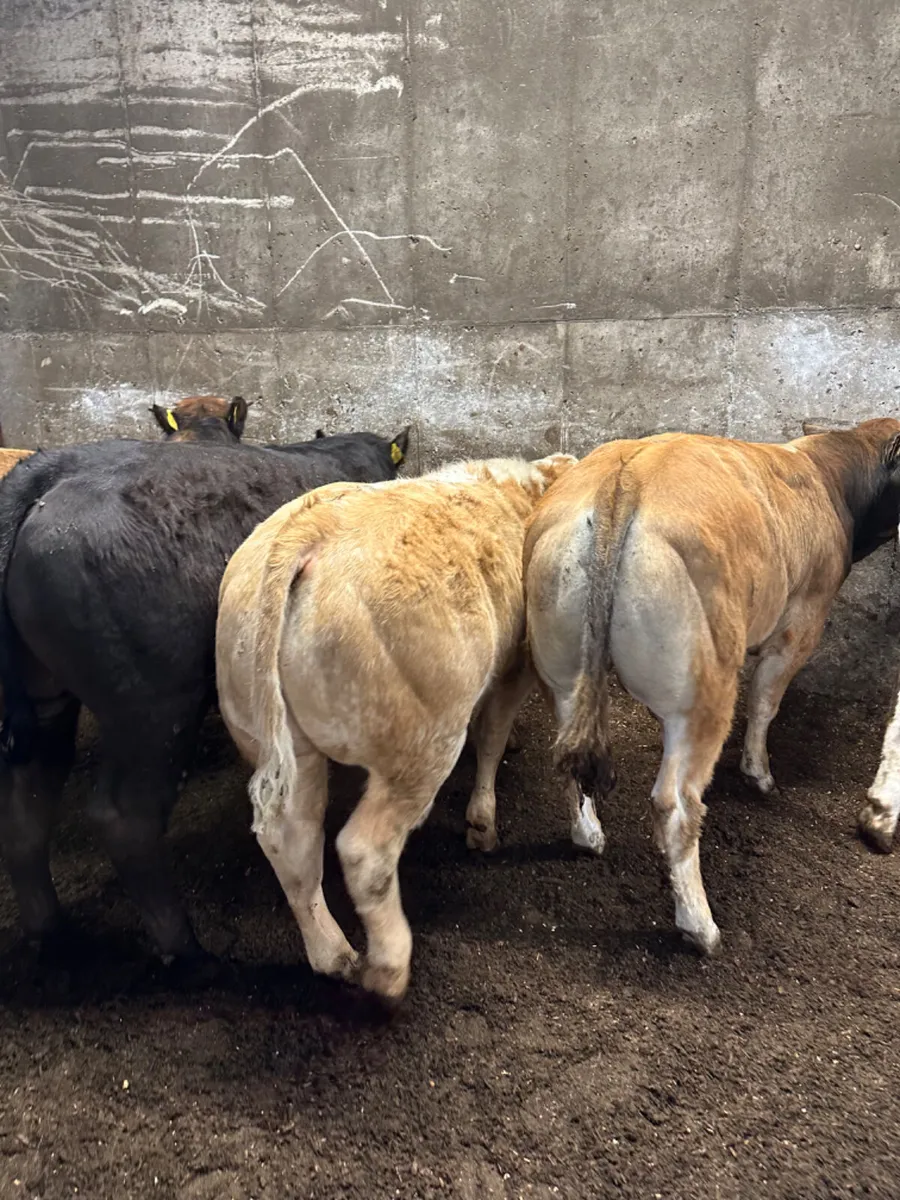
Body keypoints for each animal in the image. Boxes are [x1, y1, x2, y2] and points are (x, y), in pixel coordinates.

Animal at [0, 425, 410, 966]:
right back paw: (188, 950)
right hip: (153, 708)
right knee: (124, 817)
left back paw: (50, 933)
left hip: (47, 696)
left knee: (25, 804)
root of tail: (42, 476)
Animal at [215, 453, 576, 1003]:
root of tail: (312, 528)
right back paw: (388, 968)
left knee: (290, 836)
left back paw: (334, 954)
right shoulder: (514, 667)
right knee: (366, 851)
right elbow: (491, 737)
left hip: (276, 740)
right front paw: (483, 822)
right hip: (421, 742)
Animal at [524, 418, 900, 957]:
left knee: (569, 762)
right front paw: (759, 775)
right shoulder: (800, 624)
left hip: (561, 672)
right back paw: (700, 926)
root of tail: (624, 480)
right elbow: (765, 702)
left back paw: (588, 837)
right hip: (704, 695)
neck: (828, 473)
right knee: (675, 804)